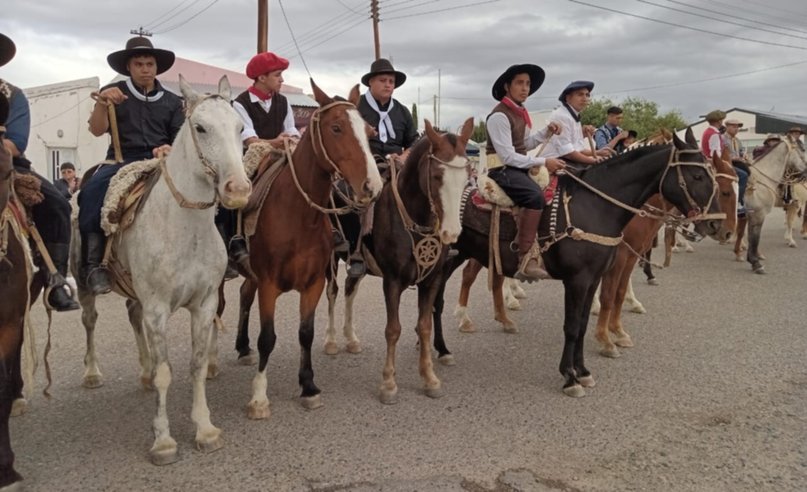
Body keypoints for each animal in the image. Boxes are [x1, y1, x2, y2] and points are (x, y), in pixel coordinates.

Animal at [71, 75, 251, 464]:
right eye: (200, 127)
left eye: (239, 127)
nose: (238, 190)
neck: (184, 226)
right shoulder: (158, 309)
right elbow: (167, 375)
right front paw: (164, 441)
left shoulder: (204, 305)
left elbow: (196, 365)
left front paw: (205, 429)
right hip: (84, 285)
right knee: (90, 322)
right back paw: (92, 372)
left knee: (132, 316)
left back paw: (145, 370)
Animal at [243, 81, 386, 418]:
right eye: (336, 128)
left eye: (368, 129)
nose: (372, 186)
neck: (297, 215)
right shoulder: (268, 284)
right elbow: (267, 338)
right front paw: (259, 397)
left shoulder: (313, 283)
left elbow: (305, 333)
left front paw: (308, 385)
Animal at [322, 119, 474, 404]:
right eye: (437, 176)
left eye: (467, 176)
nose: (451, 232)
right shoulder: (392, 282)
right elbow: (393, 329)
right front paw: (389, 383)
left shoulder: (431, 281)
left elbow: (424, 326)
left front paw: (429, 378)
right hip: (330, 259)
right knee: (333, 292)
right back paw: (332, 340)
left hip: (359, 266)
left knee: (349, 289)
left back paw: (351, 338)